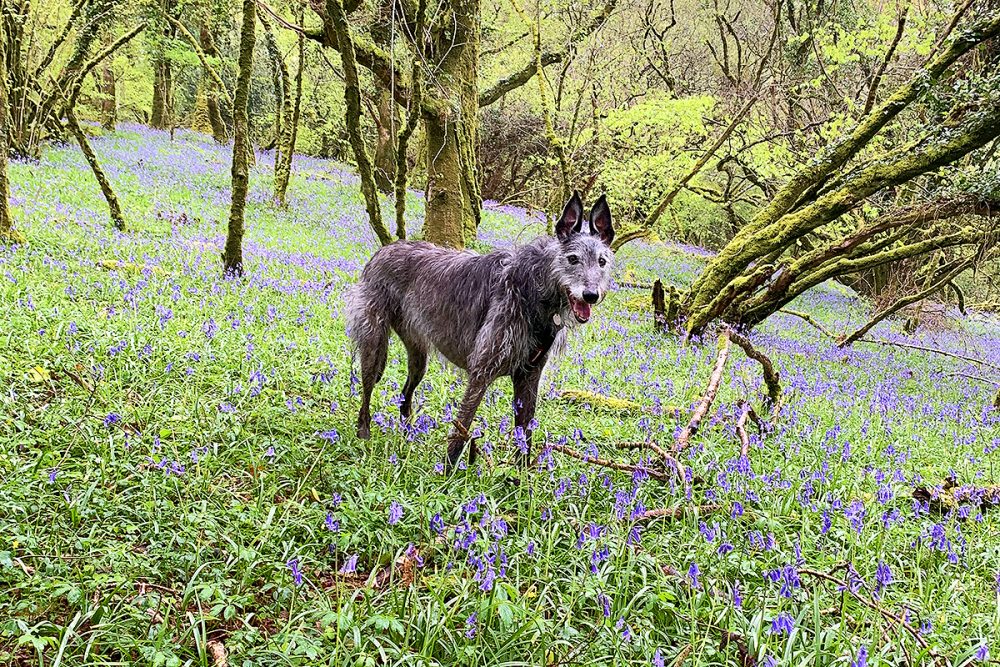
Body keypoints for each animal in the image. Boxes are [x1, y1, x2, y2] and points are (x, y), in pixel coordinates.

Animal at [348, 190, 612, 468]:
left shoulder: (529, 375)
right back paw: (364, 432)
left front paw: (520, 474)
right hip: (375, 343)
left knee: (405, 394)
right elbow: (462, 428)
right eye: (573, 259)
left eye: (602, 261)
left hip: (418, 355)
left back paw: (408, 433)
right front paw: (447, 471)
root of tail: (384, 249)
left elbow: (525, 431)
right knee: (367, 387)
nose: (591, 295)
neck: (535, 289)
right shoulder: (482, 371)